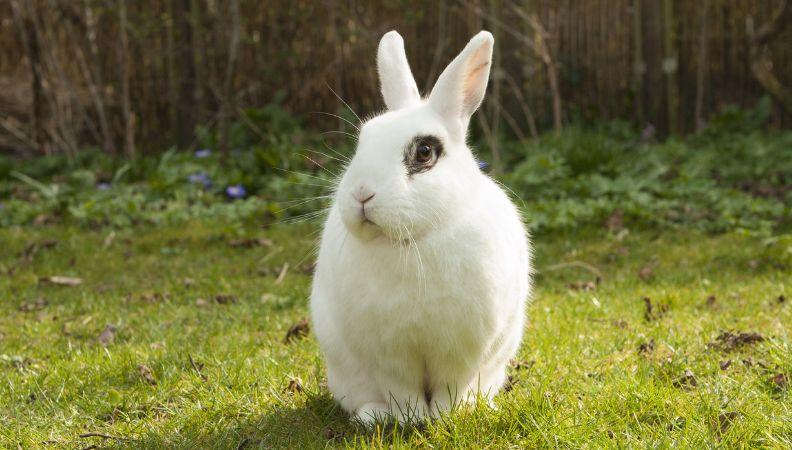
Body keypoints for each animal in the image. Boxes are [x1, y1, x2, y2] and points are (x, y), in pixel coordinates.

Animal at [310, 30, 532, 425]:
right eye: (362, 141)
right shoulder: (388, 355)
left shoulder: (461, 350)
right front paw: (411, 419)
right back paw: (372, 416)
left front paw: (446, 416)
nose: (362, 193)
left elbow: (451, 386)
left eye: (424, 152)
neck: (413, 240)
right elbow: (402, 390)